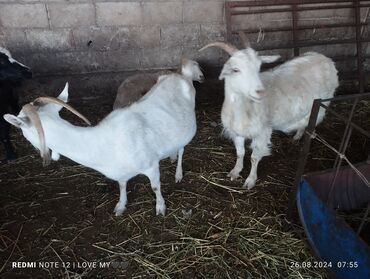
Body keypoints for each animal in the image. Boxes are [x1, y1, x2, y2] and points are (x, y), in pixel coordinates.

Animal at [199, 37, 338, 190]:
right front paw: (235, 171)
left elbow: (254, 157)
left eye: (258, 68)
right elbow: (240, 153)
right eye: (235, 69)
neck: (243, 109)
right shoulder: (236, 132)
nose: (260, 92)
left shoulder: (262, 132)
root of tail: (325, 59)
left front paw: (250, 180)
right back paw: (297, 136)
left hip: (322, 105)